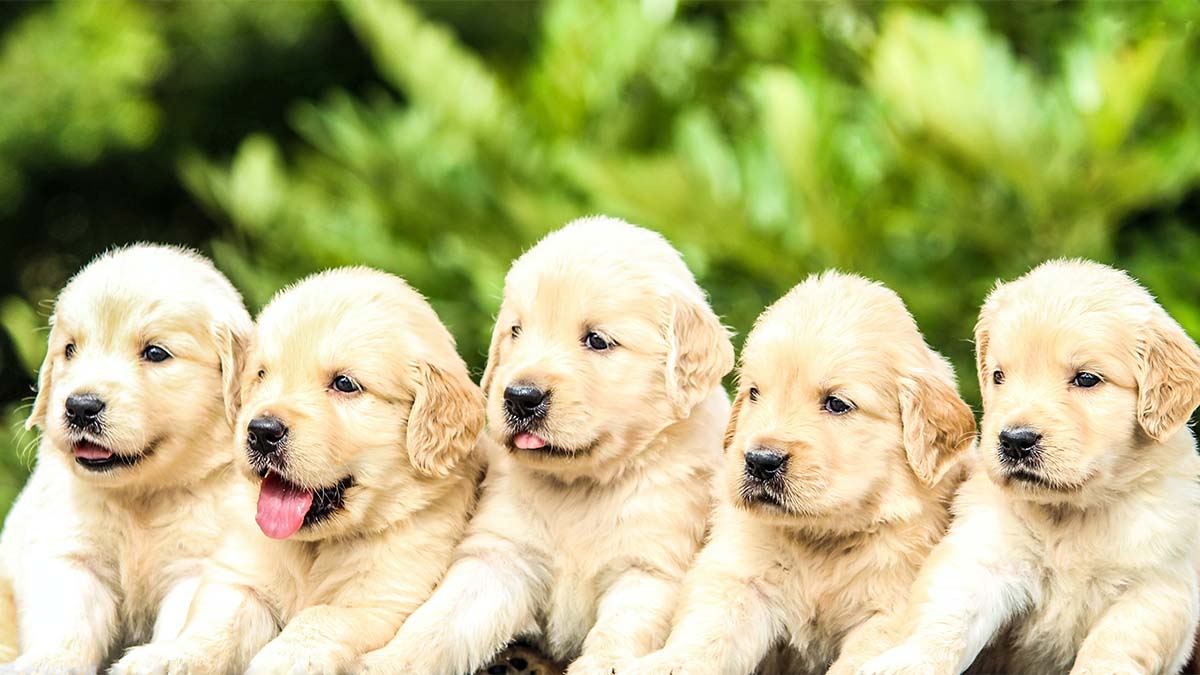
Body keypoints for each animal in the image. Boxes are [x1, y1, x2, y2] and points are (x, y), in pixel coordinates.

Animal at [0, 243, 250, 667]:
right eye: (70, 349)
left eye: (155, 352)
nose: (80, 407)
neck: (141, 496)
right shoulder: (71, 554)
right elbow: (65, 624)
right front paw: (45, 661)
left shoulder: (197, 563)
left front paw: (164, 659)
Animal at [111, 267, 487, 672]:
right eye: (261, 375)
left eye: (344, 384)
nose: (261, 431)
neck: (314, 548)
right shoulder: (241, 578)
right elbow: (214, 625)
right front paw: (169, 657)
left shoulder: (380, 603)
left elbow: (318, 618)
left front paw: (281, 660)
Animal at [357, 214, 729, 672]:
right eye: (516, 331)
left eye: (597, 340)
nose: (520, 397)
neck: (582, 487)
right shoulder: (500, 555)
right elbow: (439, 621)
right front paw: (386, 661)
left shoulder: (649, 569)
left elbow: (619, 633)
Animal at [628, 271, 974, 672]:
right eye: (754, 393)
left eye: (837, 403)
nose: (760, 461)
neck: (822, 540)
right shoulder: (739, 580)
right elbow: (707, 635)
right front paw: (667, 663)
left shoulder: (890, 609)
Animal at [859, 257, 1200, 672]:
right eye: (999, 376)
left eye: (1087, 378)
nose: (1014, 441)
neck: (1072, 514)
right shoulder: (986, 553)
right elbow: (948, 617)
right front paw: (910, 661)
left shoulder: (1155, 588)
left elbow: (1114, 647)